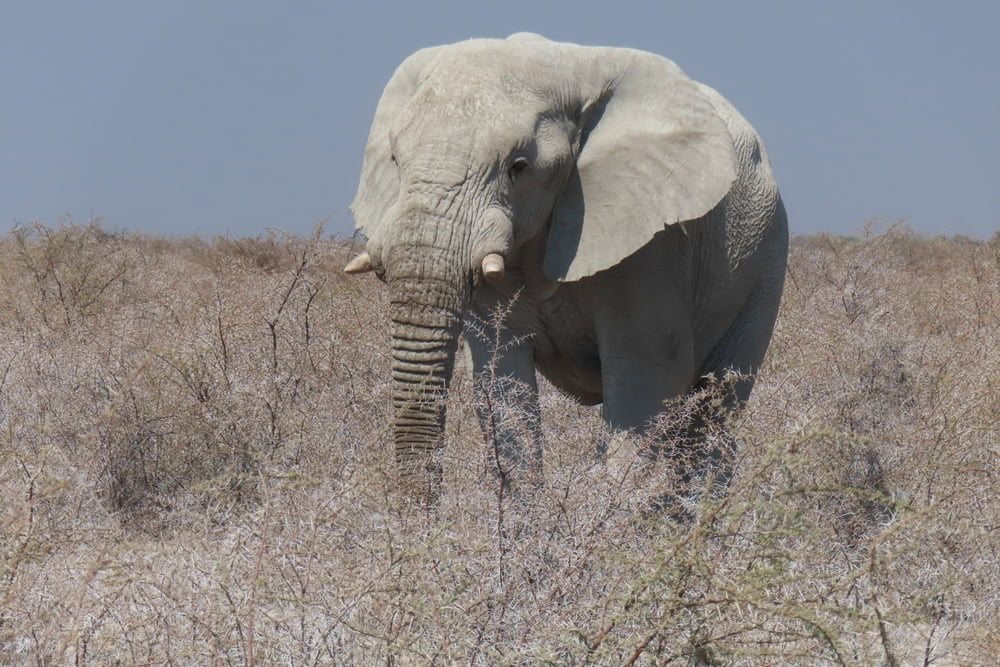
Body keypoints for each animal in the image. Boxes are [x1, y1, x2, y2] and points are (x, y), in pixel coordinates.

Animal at [344, 31, 788, 500]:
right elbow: (502, 380)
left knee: (716, 407)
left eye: (518, 167)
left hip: (765, 260)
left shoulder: (656, 245)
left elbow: (645, 377)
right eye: (395, 160)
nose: (421, 512)